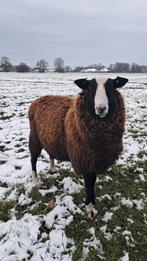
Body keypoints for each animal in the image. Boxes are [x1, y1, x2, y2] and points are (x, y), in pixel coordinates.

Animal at [28, 75, 128, 217]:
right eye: (90, 88)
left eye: (111, 87)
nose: (101, 108)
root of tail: (39, 99)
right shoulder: (84, 158)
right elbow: (89, 183)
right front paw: (89, 208)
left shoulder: (95, 159)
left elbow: (93, 181)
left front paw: (92, 203)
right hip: (34, 137)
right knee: (33, 158)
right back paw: (35, 180)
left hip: (49, 138)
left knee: (50, 153)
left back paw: (52, 168)